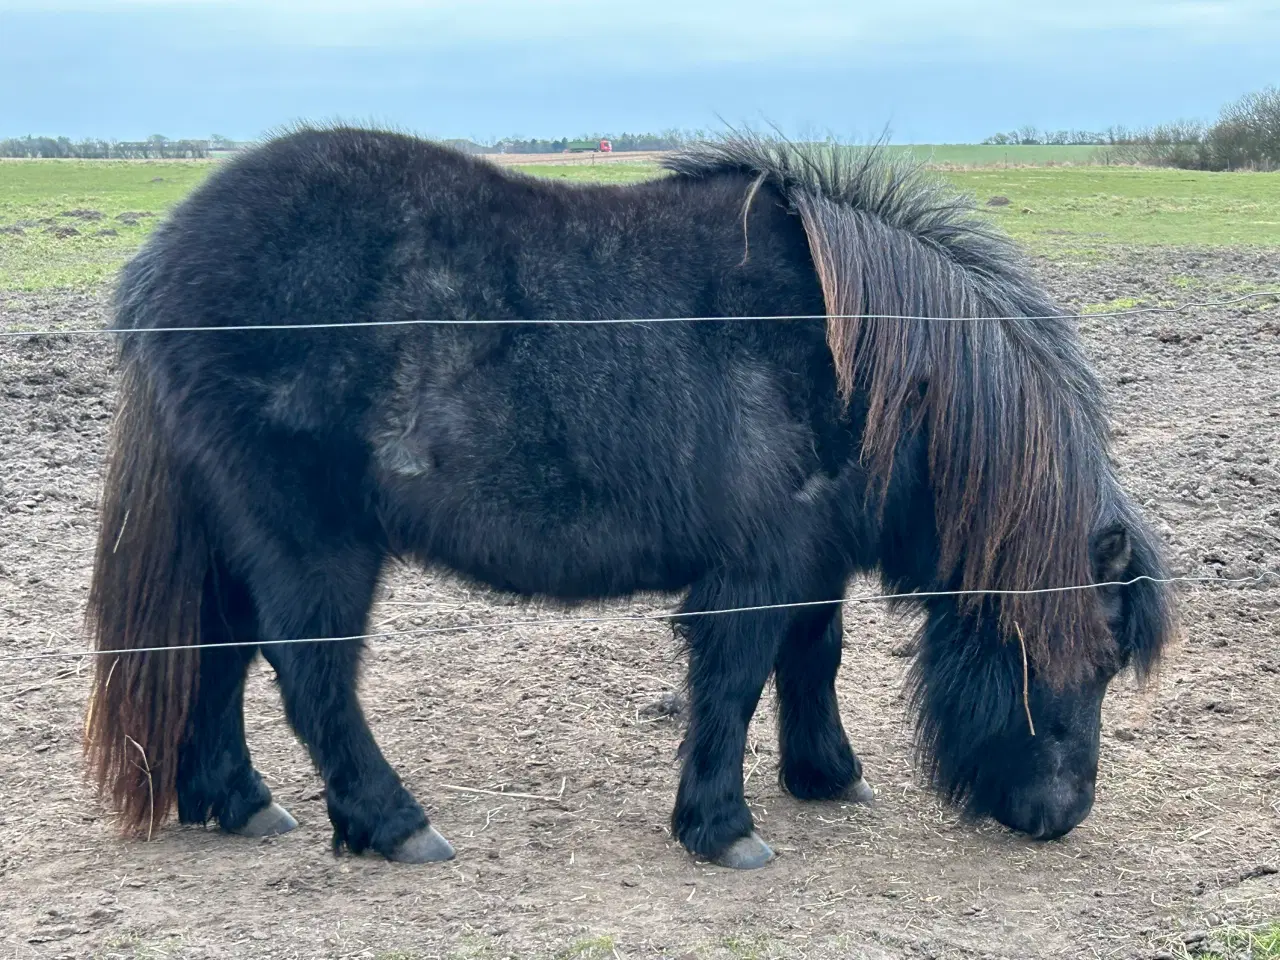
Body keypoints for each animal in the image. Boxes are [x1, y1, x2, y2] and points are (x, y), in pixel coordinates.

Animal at [85, 124, 1172, 870]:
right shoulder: (753, 567)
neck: (858, 364)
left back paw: (234, 799)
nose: (1060, 815)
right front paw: (722, 827)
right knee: (309, 675)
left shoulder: (810, 555)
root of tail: (157, 272)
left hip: (236, 535)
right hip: (311, 541)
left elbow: (812, 657)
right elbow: (736, 680)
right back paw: (392, 825)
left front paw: (826, 777)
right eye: (1092, 658)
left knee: (218, 653)